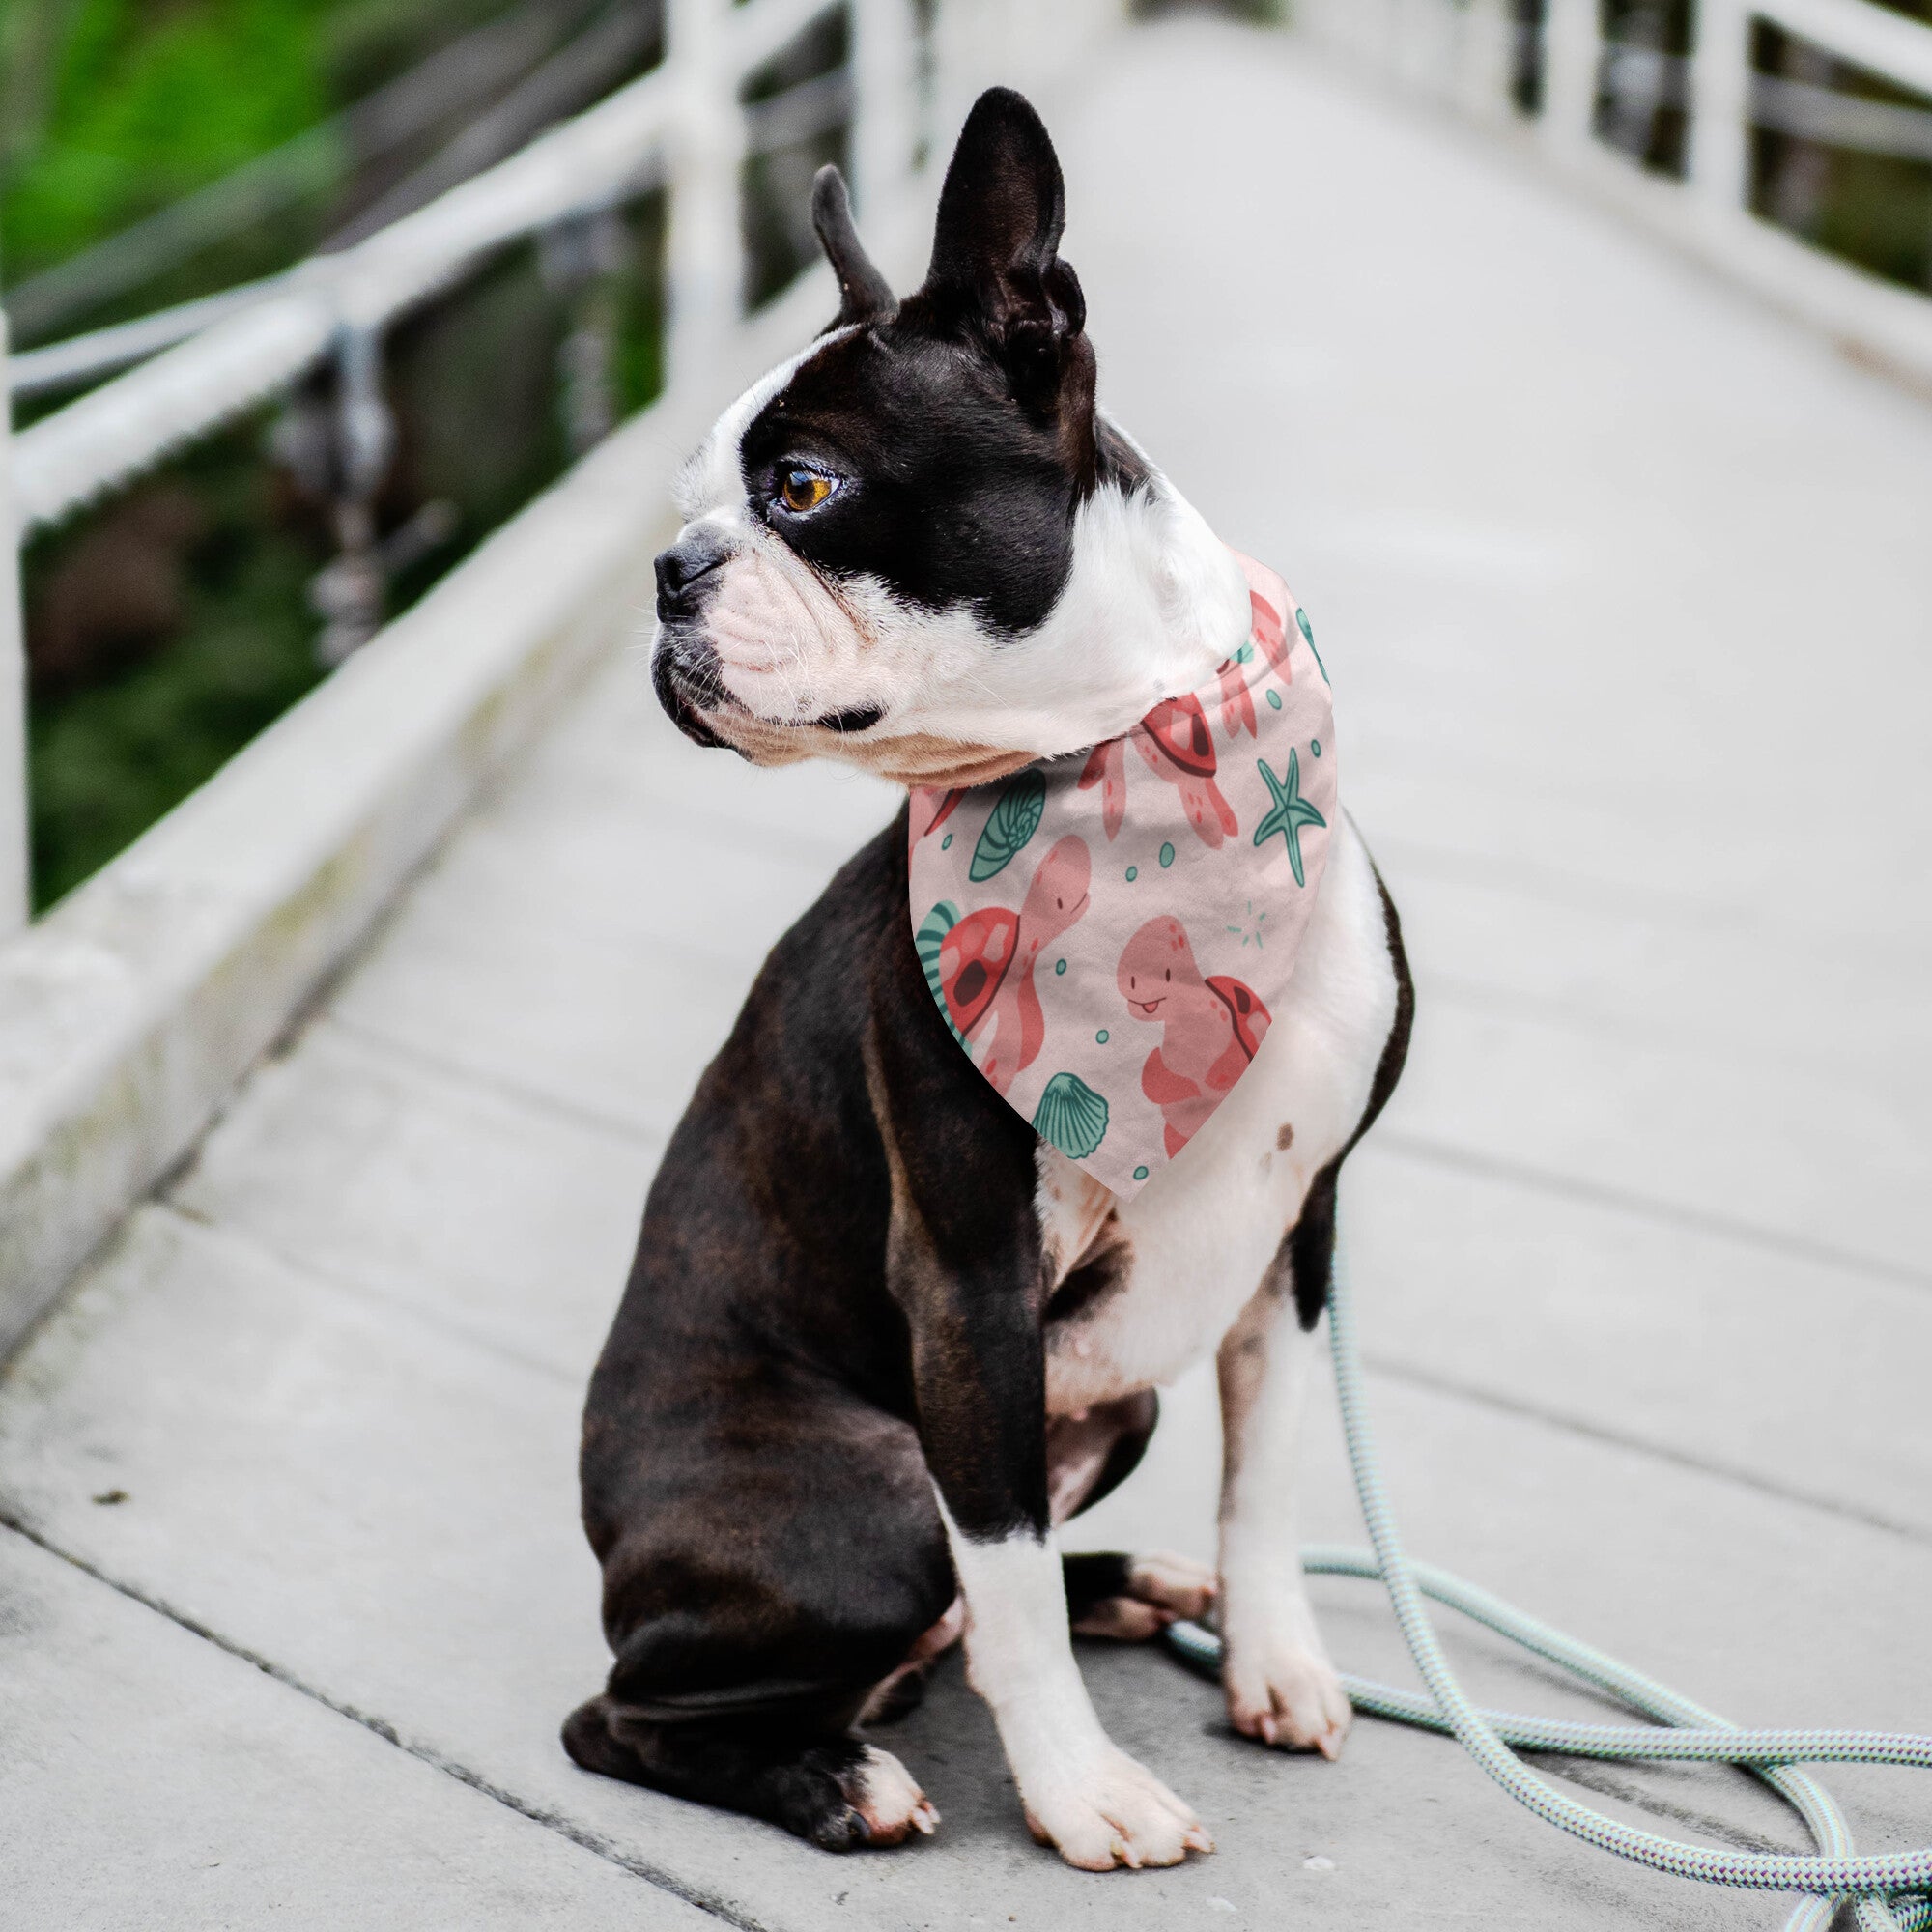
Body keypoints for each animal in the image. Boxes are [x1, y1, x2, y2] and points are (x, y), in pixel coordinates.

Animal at [564, 87, 1414, 1870]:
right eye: (698, 499)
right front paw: (1083, 1791)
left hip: (1113, 1407)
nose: (670, 570)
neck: (1130, 764)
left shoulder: (1297, 1240)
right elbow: (1005, 1573)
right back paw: (837, 1777)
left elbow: (1267, 1479)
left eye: (802, 487)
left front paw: (1274, 1658)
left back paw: (1136, 1587)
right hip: (875, 1496)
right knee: (641, 1709)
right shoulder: (968, 1282)